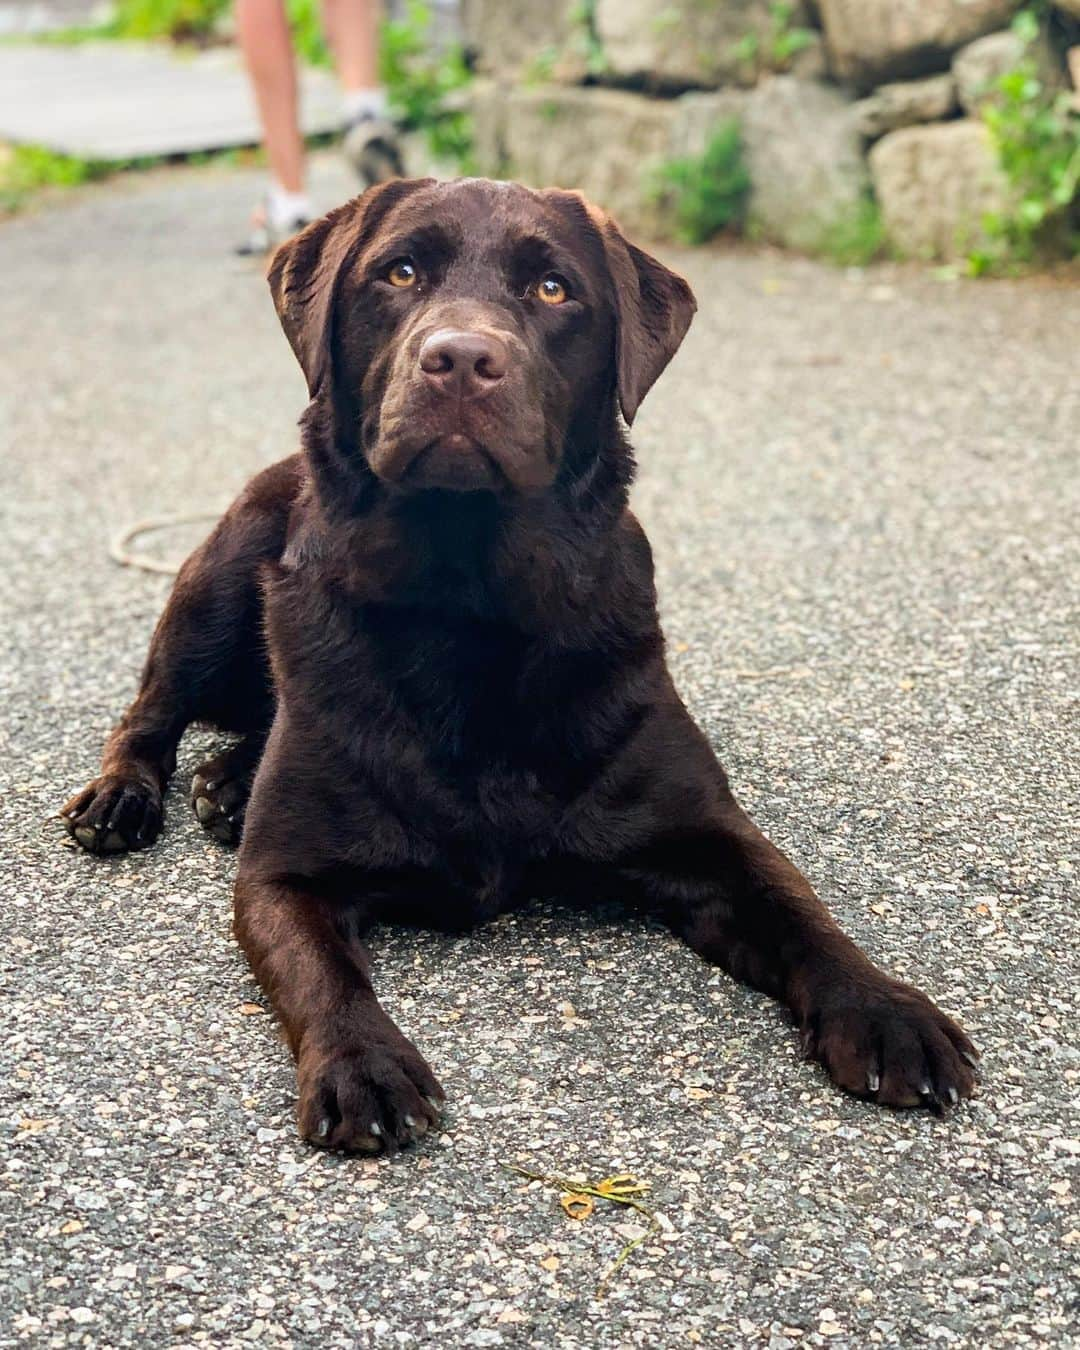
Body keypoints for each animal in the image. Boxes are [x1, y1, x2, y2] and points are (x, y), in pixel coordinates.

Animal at [65, 176, 977, 1150]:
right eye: (400, 272)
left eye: (552, 289)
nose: (461, 358)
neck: (469, 605)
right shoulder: (283, 877)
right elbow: (322, 971)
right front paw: (362, 1063)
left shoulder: (708, 835)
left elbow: (800, 906)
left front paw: (884, 1009)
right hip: (221, 568)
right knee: (151, 710)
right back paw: (124, 796)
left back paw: (230, 781)